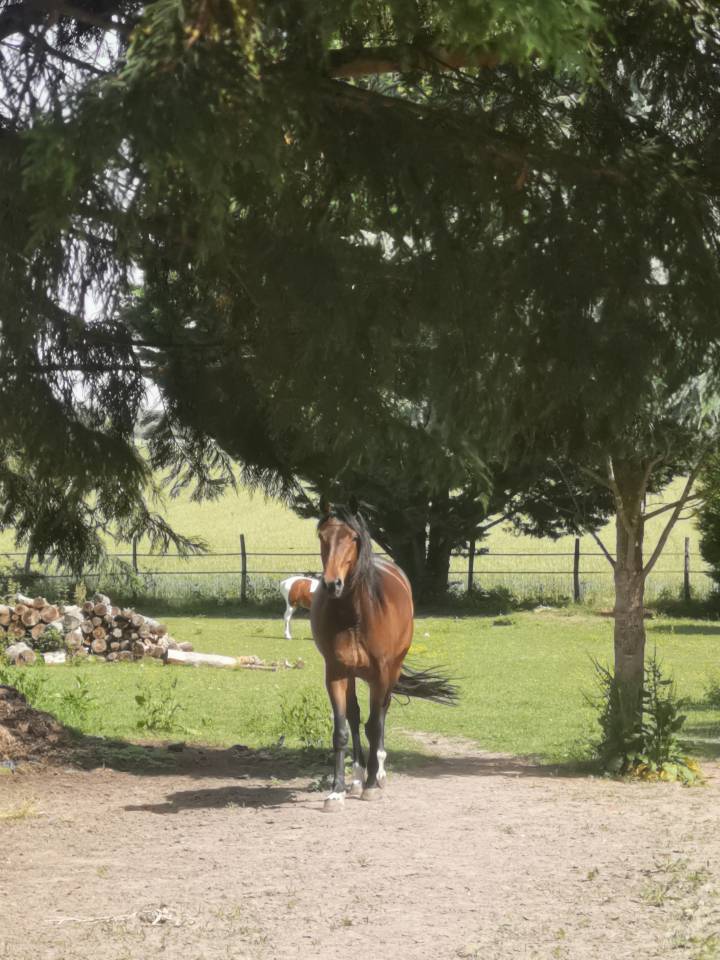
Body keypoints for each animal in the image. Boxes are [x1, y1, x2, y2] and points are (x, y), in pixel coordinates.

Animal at [311, 499, 457, 812]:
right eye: (322, 536)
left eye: (353, 538)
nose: (332, 584)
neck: (354, 615)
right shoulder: (335, 672)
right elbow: (342, 730)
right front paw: (336, 791)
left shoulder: (380, 673)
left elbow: (374, 726)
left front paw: (371, 785)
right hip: (354, 674)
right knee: (355, 717)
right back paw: (356, 778)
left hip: (391, 672)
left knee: (381, 714)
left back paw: (378, 774)